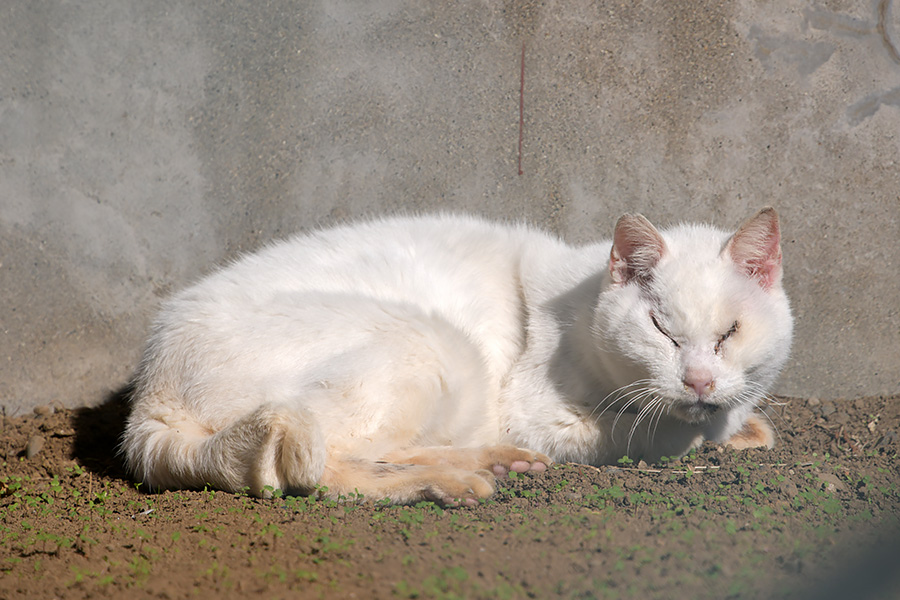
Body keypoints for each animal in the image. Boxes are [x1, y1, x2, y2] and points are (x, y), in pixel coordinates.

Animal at [123, 209, 792, 504]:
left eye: (730, 333)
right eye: (662, 331)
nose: (698, 380)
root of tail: (149, 398)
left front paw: (742, 423)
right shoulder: (541, 412)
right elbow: (661, 433)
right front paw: (713, 429)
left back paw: (491, 462)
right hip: (435, 346)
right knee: (327, 468)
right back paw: (452, 482)